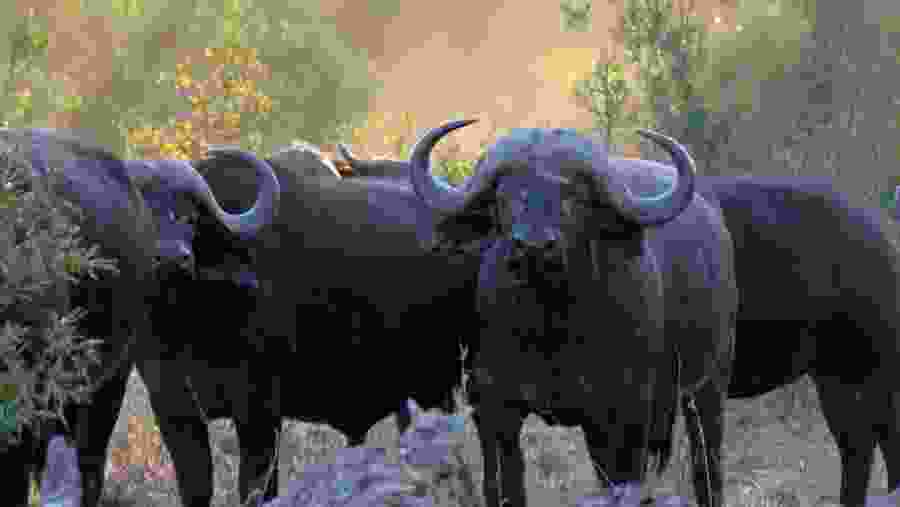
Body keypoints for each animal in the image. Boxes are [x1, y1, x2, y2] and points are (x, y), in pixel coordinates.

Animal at [406, 120, 737, 507]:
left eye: (572, 196)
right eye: (506, 196)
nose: (533, 245)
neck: (551, 325)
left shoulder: (625, 411)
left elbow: (621, 482)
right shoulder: (492, 407)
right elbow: (503, 486)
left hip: (709, 385)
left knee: (706, 461)